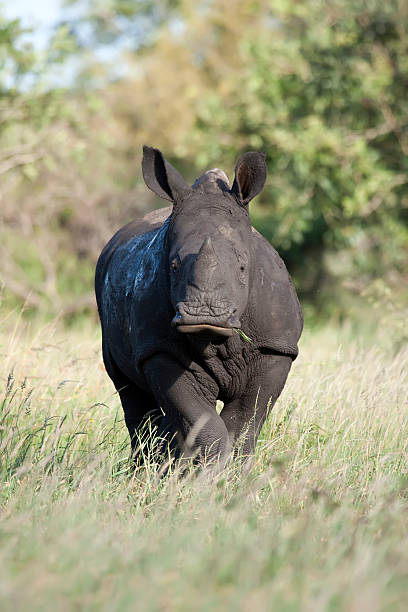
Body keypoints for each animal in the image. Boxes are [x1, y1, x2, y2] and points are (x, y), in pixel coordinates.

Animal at [94, 147, 302, 468]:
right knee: (132, 395)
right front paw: (208, 473)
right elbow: (201, 423)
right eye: (173, 266)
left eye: (243, 267)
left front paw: (232, 473)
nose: (205, 315)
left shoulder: (276, 347)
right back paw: (148, 469)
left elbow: (245, 422)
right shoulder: (159, 348)